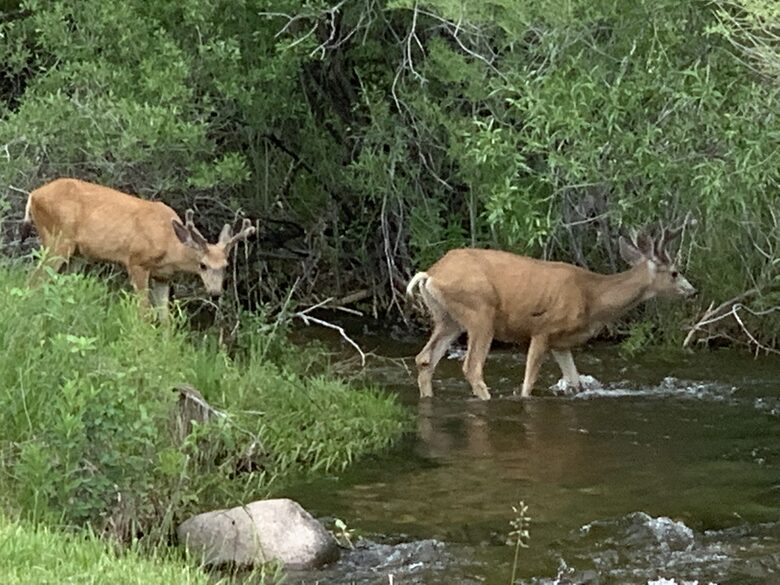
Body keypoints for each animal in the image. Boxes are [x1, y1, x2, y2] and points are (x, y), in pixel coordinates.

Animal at [19, 177, 256, 318]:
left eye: (225, 266)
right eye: (203, 265)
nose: (215, 293)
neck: (169, 243)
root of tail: (33, 195)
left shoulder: (163, 276)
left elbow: (165, 317)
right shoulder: (136, 261)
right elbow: (144, 310)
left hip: (77, 254)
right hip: (57, 238)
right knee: (35, 279)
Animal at [406, 220, 697, 399]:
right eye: (675, 272)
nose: (692, 291)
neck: (592, 297)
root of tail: (430, 275)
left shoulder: (561, 343)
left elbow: (575, 382)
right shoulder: (543, 330)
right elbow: (527, 384)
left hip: (448, 319)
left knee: (425, 359)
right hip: (480, 312)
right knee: (472, 367)